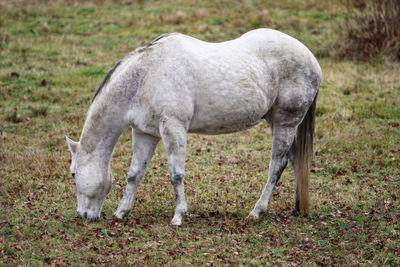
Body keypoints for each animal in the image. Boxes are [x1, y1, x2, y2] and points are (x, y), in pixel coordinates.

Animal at [65, 28, 322, 226]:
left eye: (73, 174)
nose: (83, 215)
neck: (145, 76)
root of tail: (312, 59)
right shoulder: (145, 133)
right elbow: (135, 174)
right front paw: (121, 212)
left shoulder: (173, 127)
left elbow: (176, 174)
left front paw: (178, 216)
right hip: (277, 122)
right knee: (294, 161)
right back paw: (296, 207)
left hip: (286, 122)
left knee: (277, 165)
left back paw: (257, 211)